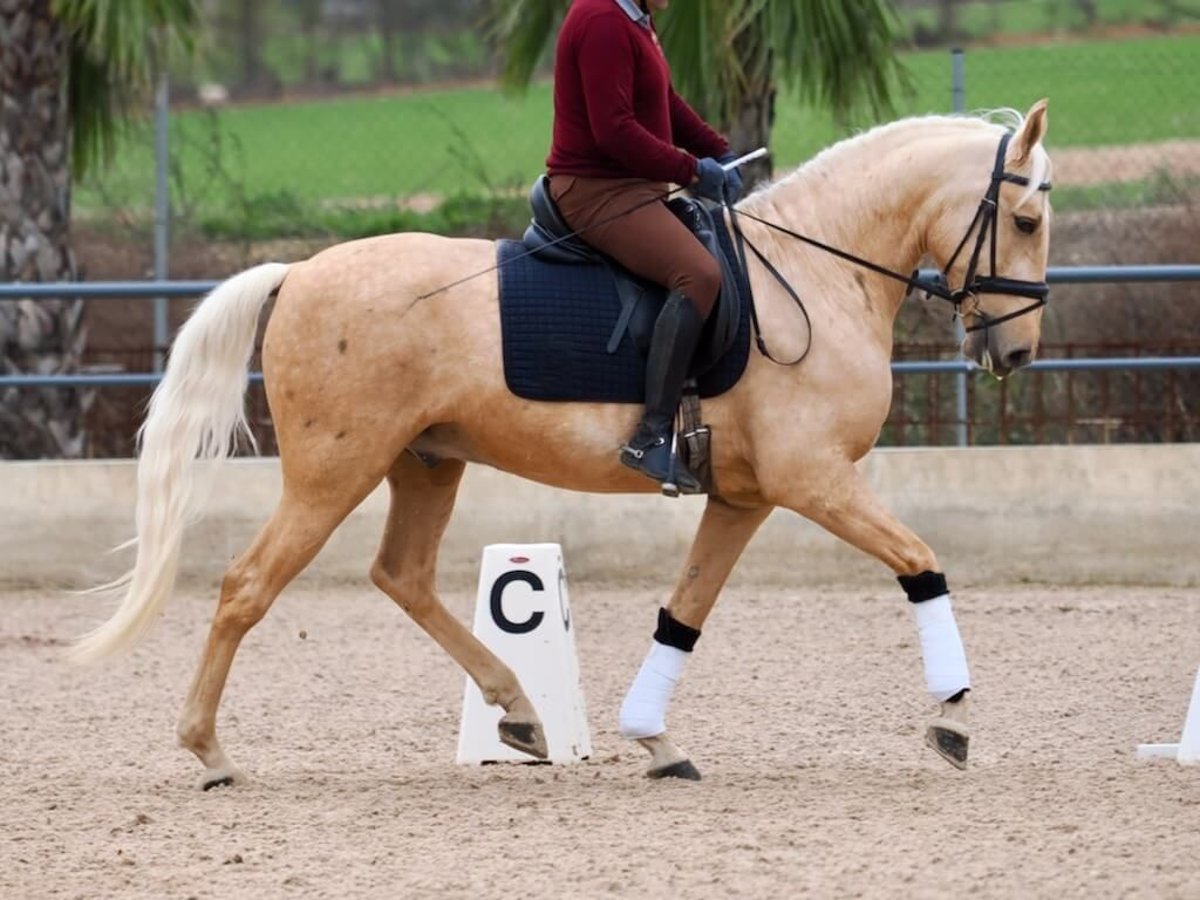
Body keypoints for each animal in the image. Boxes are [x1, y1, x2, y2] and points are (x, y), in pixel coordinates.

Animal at [72, 100, 1051, 787]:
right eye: (1028, 222)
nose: (1016, 352)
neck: (813, 273)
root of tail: (301, 271)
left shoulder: (747, 496)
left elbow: (684, 613)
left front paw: (656, 742)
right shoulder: (811, 479)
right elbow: (920, 562)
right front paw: (954, 717)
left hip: (426, 463)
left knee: (403, 576)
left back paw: (518, 712)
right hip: (331, 474)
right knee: (246, 588)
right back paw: (209, 753)